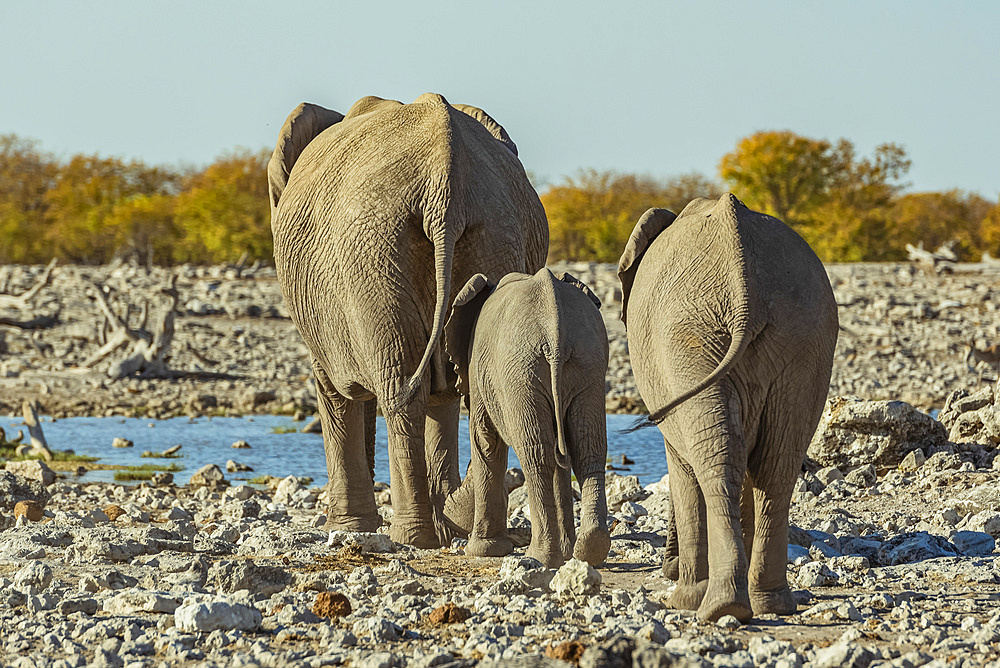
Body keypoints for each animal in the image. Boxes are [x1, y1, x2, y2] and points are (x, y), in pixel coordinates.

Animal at [268, 94, 548, 548]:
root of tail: (444, 185)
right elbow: (443, 392)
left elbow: (334, 393)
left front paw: (347, 528)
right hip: (493, 235)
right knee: (462, 383)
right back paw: (450, 531)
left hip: (372, 254)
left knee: (400, 388)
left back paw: (412, 537)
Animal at [444, 268, 608, 568]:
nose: (449, 512)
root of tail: (555, 333)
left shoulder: (477, 368)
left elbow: (485, 441)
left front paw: (482, 551)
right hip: (586, 364)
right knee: (586, 447)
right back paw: (588, 550)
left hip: (520, 374)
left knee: (536, 455)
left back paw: (540, 556)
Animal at [616, 193, 836, 620]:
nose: (667, 567)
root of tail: (744, 284)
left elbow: (681, 468)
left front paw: (682, 596)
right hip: (803, 337)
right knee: (775, 464)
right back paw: (770, 603)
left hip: (686, 338)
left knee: (717, 461)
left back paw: (710, 605)